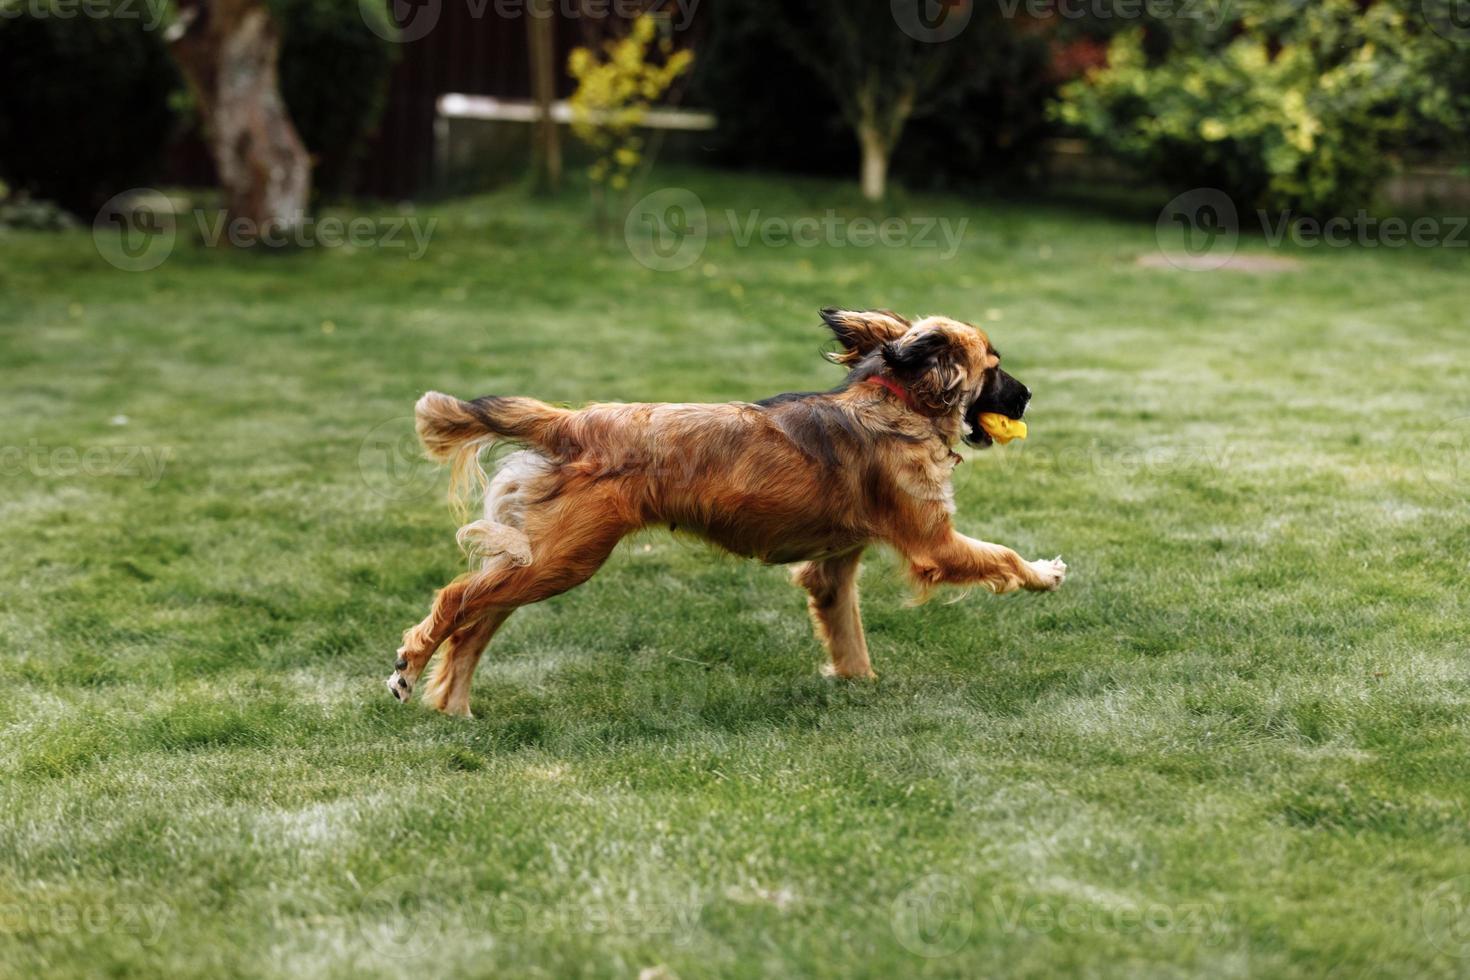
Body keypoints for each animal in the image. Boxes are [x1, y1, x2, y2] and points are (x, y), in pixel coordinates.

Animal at [385, 310, 1064, 717]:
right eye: (994, 368)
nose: (1031, 395)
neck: (896, 398)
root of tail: (574, 420)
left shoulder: (832, 566)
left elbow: (848, 635)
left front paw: (857, 685)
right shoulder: (933, 541)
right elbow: (1000, 555)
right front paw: (1044, 574)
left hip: (538, 554)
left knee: (474, 622)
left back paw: (454, 706)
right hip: (562, 558)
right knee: (455, 599)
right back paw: (409, 667)